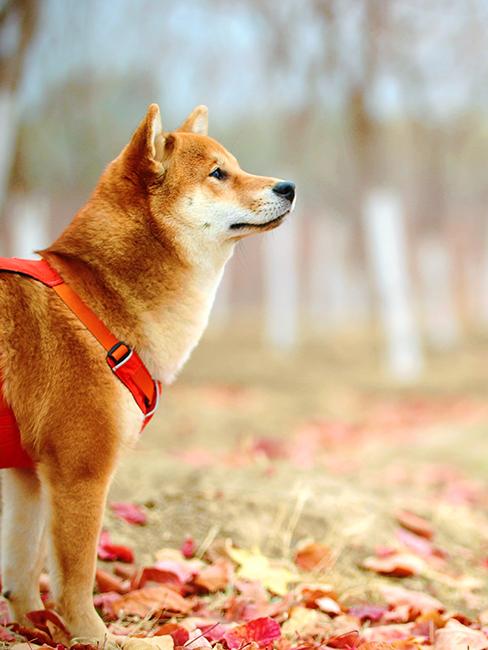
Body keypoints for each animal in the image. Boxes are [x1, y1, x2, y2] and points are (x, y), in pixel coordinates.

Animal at [0, 104, 298, 640]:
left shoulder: (27, 474)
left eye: (236, 166)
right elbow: (75, 580)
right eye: (217, 173)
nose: (288, 186)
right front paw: (95, 637)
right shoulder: (80, 473)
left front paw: (35, 629)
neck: (99, 299)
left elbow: (21, 573)